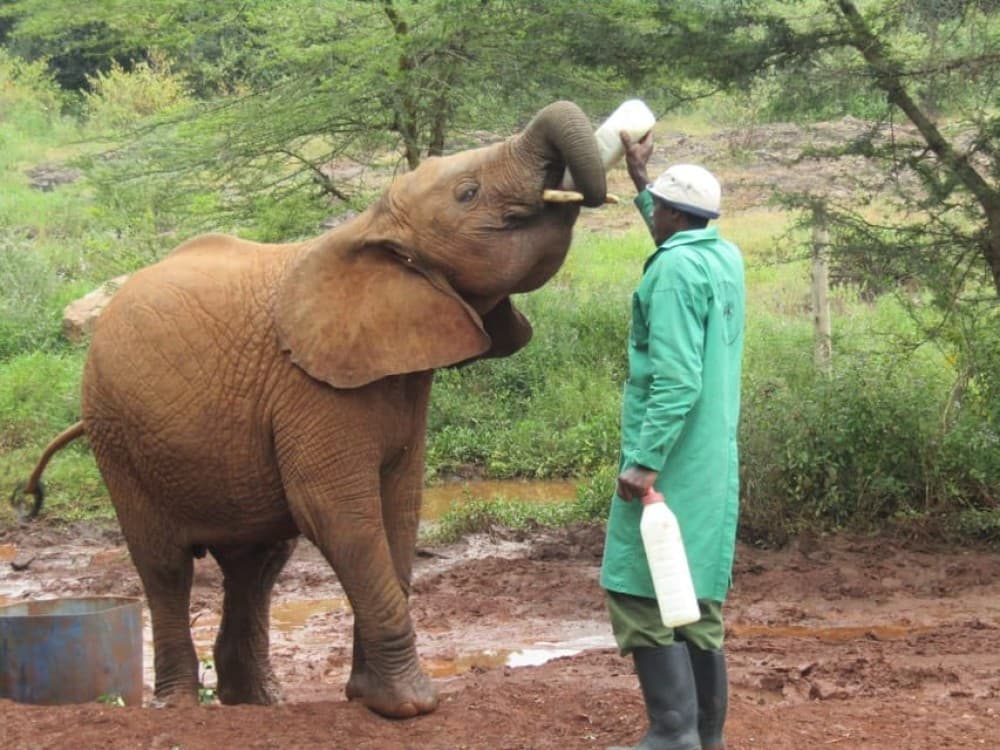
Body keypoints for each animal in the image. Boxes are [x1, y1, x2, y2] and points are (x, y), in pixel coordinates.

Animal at [14, 100, 606, 718]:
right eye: (468, 193)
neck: (370, 226)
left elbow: (399, 511)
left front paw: (369, 696)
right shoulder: (311, 388)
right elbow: (338, 512)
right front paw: (411, 705)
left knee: (256, 565)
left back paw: (258, 703)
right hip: (117, 433)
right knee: (166, 566)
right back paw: (180, 706)